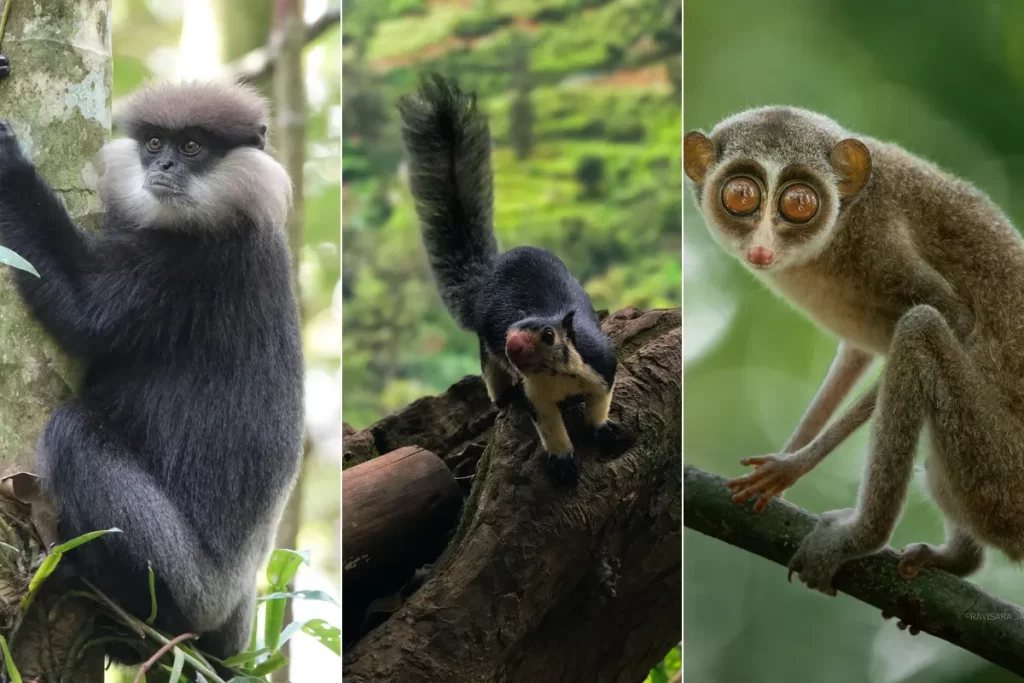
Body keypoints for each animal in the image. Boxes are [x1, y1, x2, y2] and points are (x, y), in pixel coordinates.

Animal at [397, 74, 622, 486]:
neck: (559, 375)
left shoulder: (602, 364)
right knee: (494, 378)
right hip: (488, 356)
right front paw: (562, 463)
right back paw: (504, 399)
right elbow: (549, 426)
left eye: (548, 335)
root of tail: (486, 279)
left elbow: (600, 403)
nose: (512, 344)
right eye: (510, 330)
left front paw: (603, 429)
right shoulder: (538, 397)